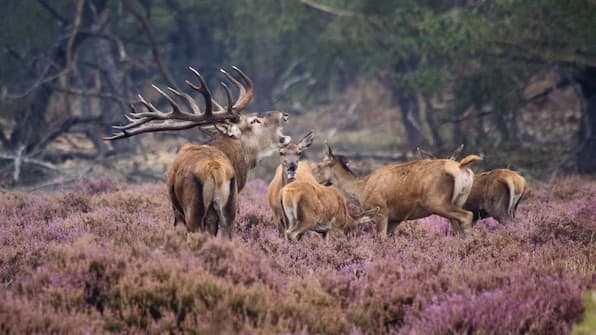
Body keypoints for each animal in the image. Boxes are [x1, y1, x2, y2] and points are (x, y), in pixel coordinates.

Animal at [109, 66, 294, 239]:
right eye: (254, 120)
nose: (284, 115)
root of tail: (214, 169)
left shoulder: (177, 210)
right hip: (228, 211)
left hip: (193, 211)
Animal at [318, 146, 482, 238]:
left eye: (319, 165)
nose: (317, 182)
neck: (360, 190)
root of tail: (462, 168)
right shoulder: (395, 218)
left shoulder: (381, 211)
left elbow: (380, 239)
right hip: (458, 200)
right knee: (458, 227)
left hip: (436, 202)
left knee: (467, 215)